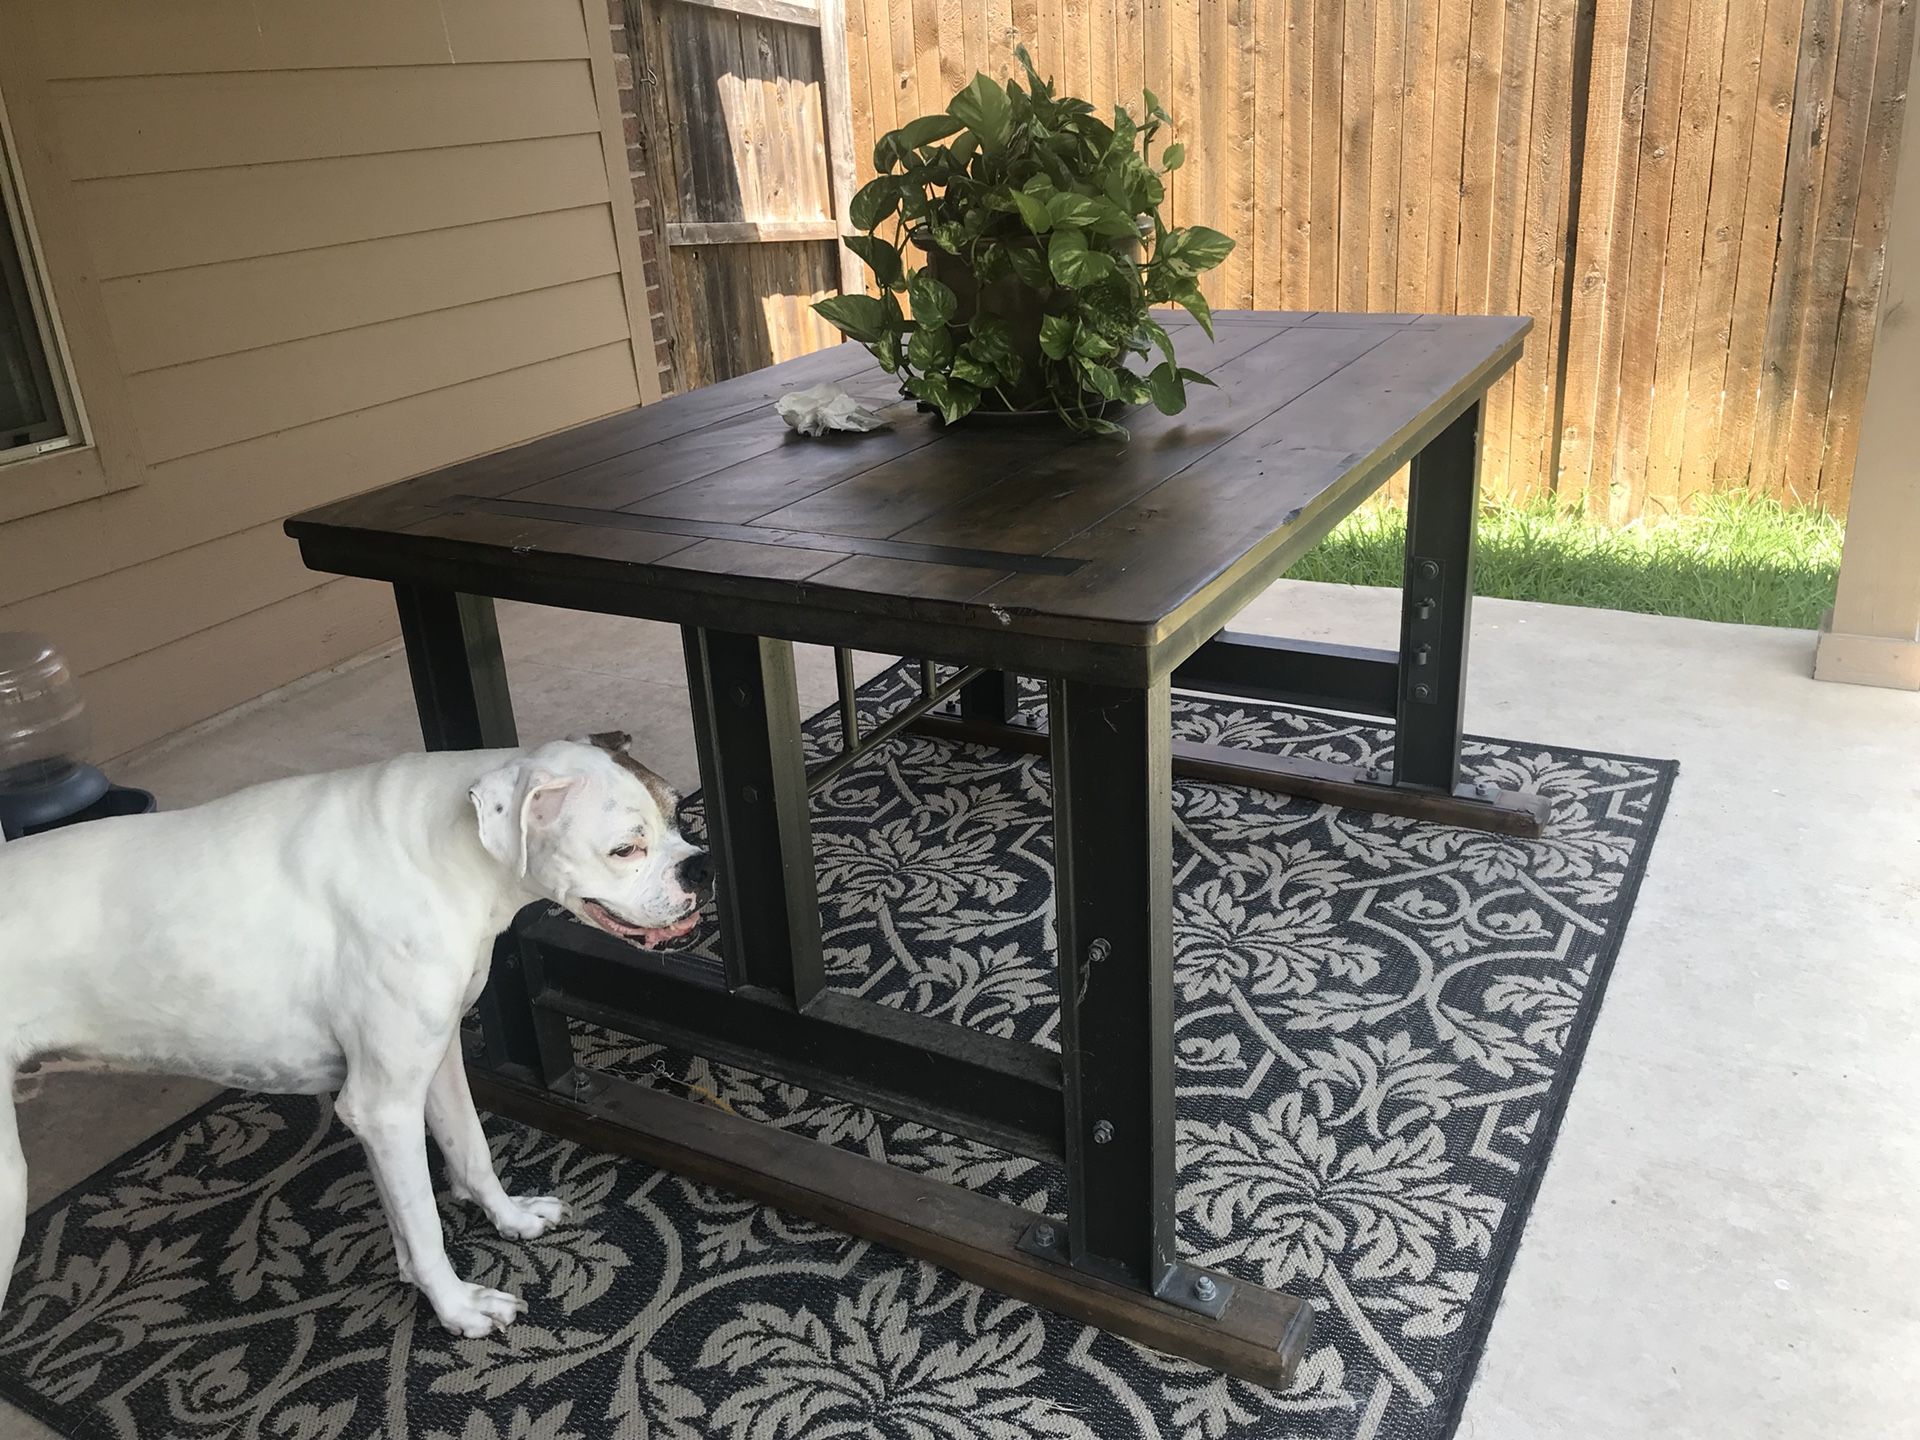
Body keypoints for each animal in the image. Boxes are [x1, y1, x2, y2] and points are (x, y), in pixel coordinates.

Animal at [0, 733, 710, 1344]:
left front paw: (507, 1219)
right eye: (624, 850)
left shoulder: (432, 1066)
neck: (442, 850)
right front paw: (456, 1307)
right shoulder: (382, 1107)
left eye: (678, 813)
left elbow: (467, 1151)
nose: (700, 870)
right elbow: (424, 1221)